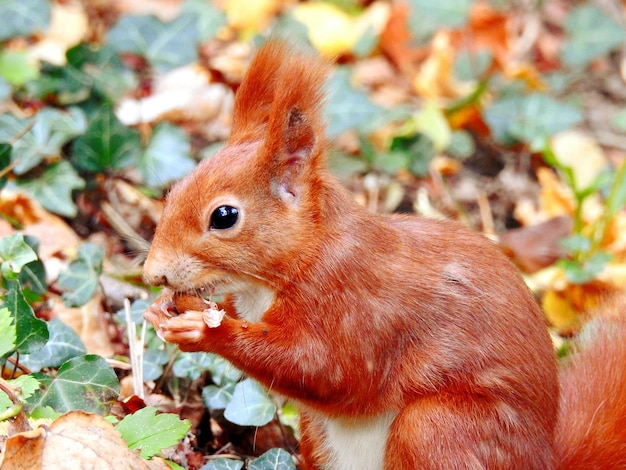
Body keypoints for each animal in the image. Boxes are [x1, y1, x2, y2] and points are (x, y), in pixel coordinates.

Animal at [144, 42, 624, 468]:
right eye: (172, 191)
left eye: (224, 216)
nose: (152, 274)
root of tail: (544, 459)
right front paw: (160, 311)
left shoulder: (355, 309)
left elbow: (324, 369)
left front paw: (206, 331)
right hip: (318, 435)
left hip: (439, 429)